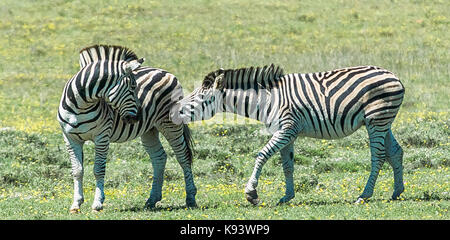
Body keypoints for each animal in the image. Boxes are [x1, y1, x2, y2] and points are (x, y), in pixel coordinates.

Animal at [57, 44, 196, 212]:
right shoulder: (70, 138)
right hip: (149, 129)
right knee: (159, 158)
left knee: (183, 156)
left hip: (170, 124)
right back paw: (152, 199)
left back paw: (190, 198)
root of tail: (165, 71)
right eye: (132, 87)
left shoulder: (102, 136)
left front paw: (97, 203)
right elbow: (77, 171)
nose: (137, 117)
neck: (81, 106)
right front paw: (76, 204)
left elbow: (98, 169)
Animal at [172, 64, 404, 205]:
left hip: (376, 120)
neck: (266, 99)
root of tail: (395, 76)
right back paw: (397, 191)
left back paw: (364, 195)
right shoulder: (287, 133)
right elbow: (287, 165)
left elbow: (261, 155)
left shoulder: (286, 129)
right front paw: (287, 196)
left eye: (198, 98)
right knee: (395, 152)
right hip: (382, 121)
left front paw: (251, 193)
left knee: (379, 157)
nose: (175, 110)